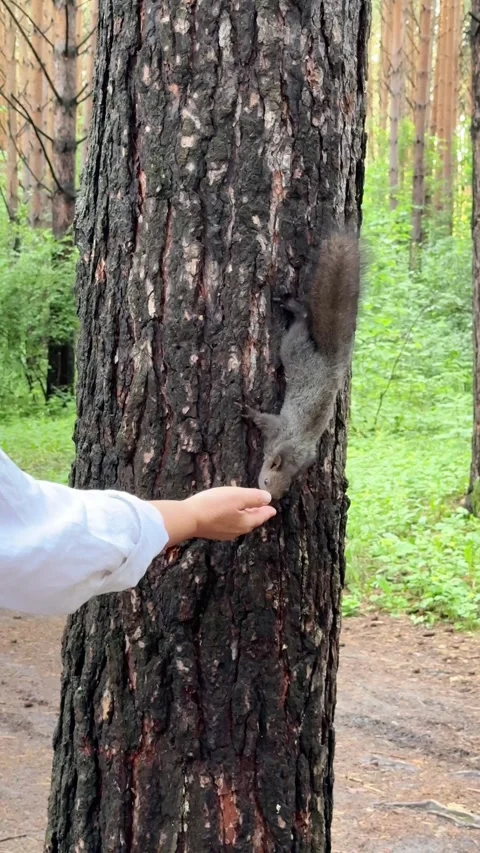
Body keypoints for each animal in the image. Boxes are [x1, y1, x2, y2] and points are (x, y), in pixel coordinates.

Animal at [246, 233, 361, 500]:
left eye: (282, 490)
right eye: (266, 481)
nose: (271, 500)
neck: (293, 448)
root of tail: (331, 366)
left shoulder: (295, 444)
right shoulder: (281, 430)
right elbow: (264, 420)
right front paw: (247, 410)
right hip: (297, 352)